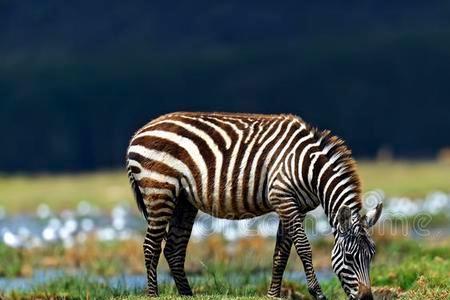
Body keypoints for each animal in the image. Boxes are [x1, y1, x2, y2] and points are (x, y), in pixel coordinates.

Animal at [126, 112, 384, 300]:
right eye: (349, 257)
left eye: (371, 256)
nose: (366, 299)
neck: (308, 168)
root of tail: (139, 132)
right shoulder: (284, 199)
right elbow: (303, 247)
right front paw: (317, 293)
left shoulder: (294, 207)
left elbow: (281, 253)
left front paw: (273, 295)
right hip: (159, 191)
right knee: (151, 246)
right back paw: (153, 295)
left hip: (183, 201)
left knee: (173, 248)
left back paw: (187, 295)